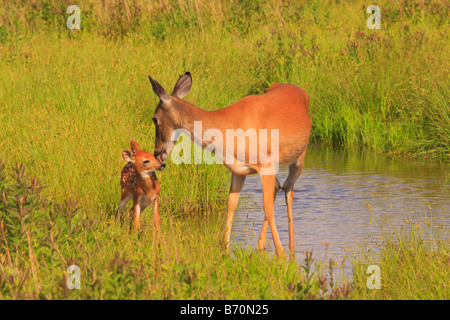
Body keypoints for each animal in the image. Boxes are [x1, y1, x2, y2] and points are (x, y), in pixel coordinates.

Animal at [148, 72, 310, 258]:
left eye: (154, 118)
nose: (157, 152)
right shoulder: (238, 170)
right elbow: (231, 203)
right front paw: (225, 248)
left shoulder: (266, 164)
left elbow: (267, 206)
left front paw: (281, 253)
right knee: (279, 186)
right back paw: (261, 244)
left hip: (299, 157)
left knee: (288, 190)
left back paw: (290, 247)